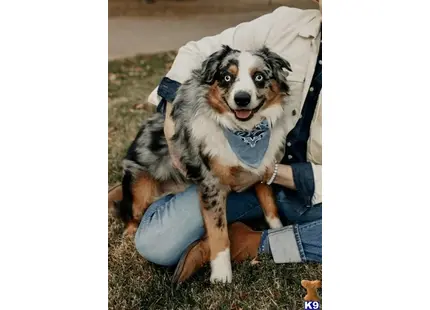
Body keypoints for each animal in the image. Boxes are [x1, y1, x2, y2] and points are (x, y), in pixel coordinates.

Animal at [115, 44, 292, 284]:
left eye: (259, 77)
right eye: (227, 77)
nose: (242, 99)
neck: (244, 133)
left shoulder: (260, 170)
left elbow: (270, 206)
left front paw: (278, 230)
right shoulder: (211, 185)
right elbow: (219, 232)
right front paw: (221, 275)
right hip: (139, 185)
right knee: (130, 213)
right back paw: (129, 235)